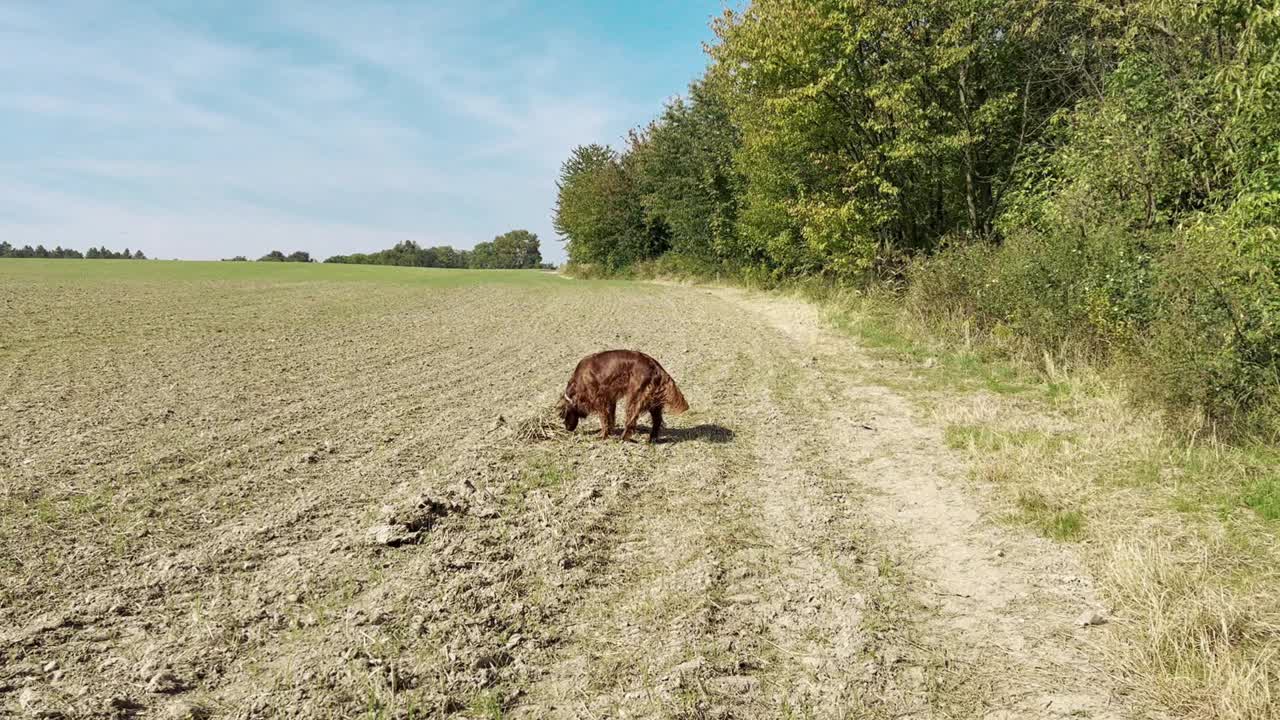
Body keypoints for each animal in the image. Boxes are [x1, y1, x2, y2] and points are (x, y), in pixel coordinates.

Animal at [555, 348, 686, 443]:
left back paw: (623, 438)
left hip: (635, 397)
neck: (580, 379)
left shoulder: (600, 399)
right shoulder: (610, 398)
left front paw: (602, 435)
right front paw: (609, 432)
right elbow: (610, 418)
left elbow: (604, 419)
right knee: (657, 420)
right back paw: (651, 439)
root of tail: (654, 365)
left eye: (564, 414)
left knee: (631, 421)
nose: (567, 428)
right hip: (653, 400)